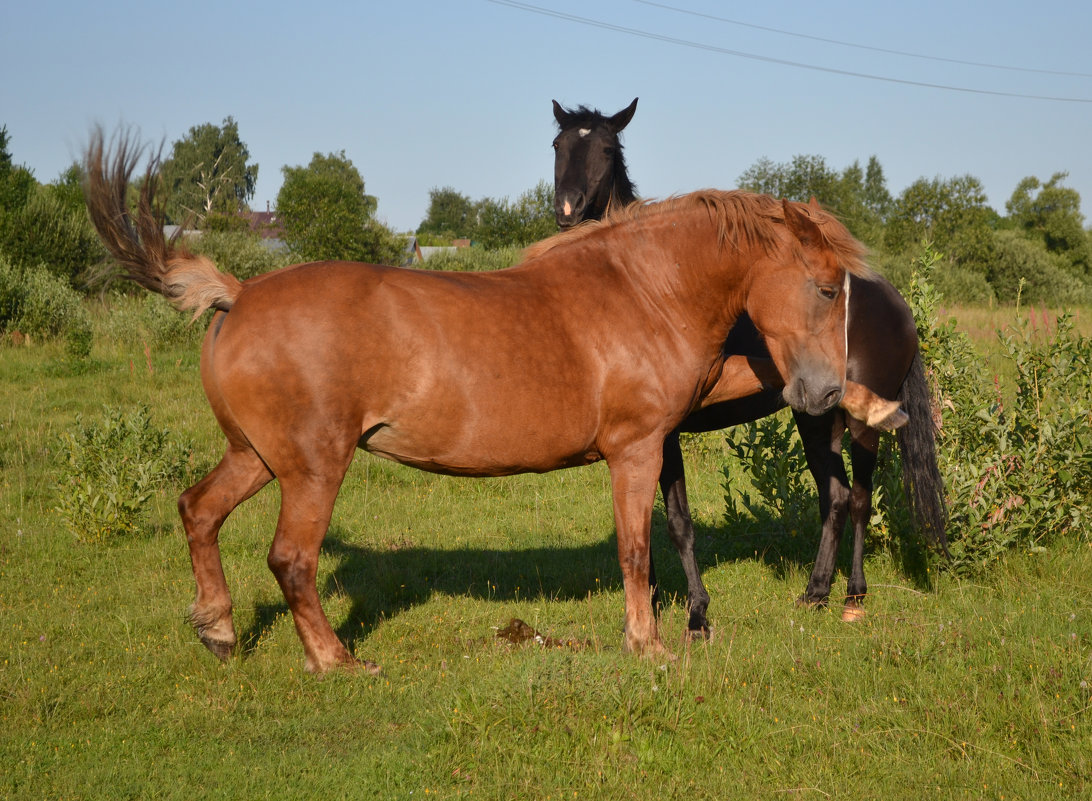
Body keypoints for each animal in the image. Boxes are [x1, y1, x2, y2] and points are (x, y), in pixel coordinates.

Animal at [82, 128, 869, 676]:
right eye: (827, 287)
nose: (826, 392)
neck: (644, 291)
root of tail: (239, 294)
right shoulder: (637, 449)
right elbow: (637, 549)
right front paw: (648, 645)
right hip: (312, 468)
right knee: (291, 559)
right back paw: (336, 661)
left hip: (254, 456)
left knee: (199, 511)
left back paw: (219, 629)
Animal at [554, 97, 947, 628]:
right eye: (558, 144)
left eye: (606, 148)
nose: (568, 209)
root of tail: (896, 301)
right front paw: (650, 601)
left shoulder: (662, 435)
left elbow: (676, 522)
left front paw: (694, 612)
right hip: (817, 415)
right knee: (836, 498)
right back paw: (815, 592)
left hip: (859, 424)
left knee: (861, 500)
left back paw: (853, 596)